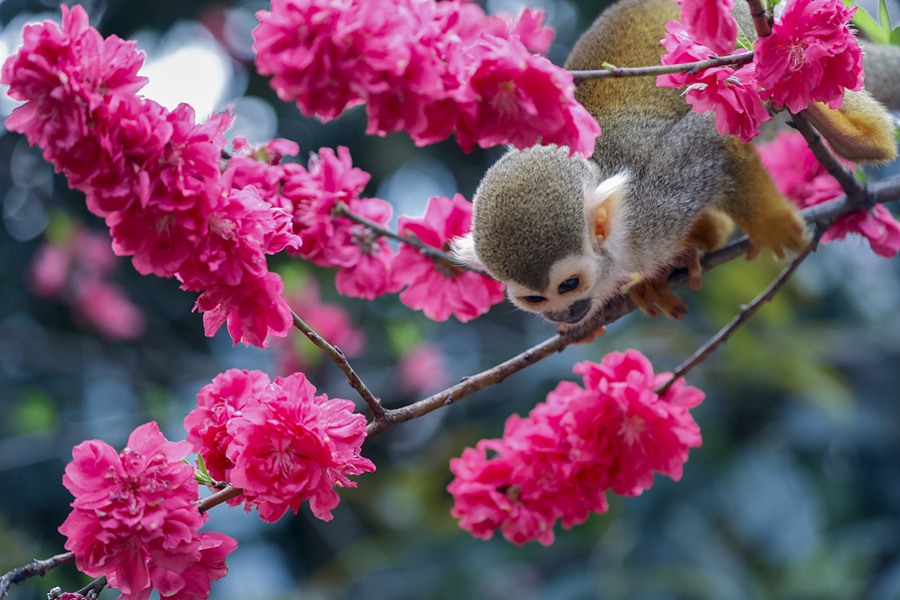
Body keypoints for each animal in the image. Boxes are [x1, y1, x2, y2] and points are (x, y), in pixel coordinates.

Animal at [458, 0, 900, 332]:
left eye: (569, 285)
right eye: (535, 297)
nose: (563, 315)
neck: (619, 244)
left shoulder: (656, 196)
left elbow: (710, 138)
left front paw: (771, 221)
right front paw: (666, 270)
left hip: (752, 41)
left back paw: (855, 135)